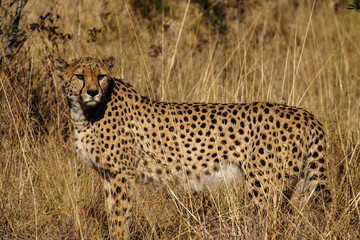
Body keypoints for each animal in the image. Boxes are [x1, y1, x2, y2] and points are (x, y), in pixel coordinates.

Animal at [53, 55, 332, 238]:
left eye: (101, 76)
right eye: (79, 76)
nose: (92, 92)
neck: (85, 113)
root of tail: (306, 114)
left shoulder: (122, 174)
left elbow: (121, 217)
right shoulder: (109, 175)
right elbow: (113, 214)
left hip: (265, 185)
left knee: (273, 222)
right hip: (293, 182)